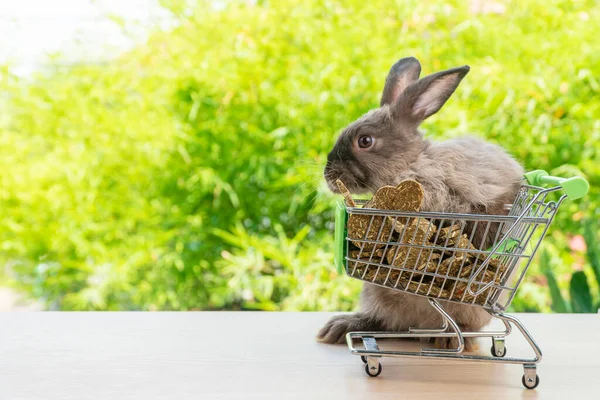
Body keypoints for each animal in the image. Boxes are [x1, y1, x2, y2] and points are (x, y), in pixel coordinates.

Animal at [318, 57, 524, 350]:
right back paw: (342, 327)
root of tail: (420, 327)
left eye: (365, 141)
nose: (329, 176)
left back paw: (449, 341)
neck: (411, 162)